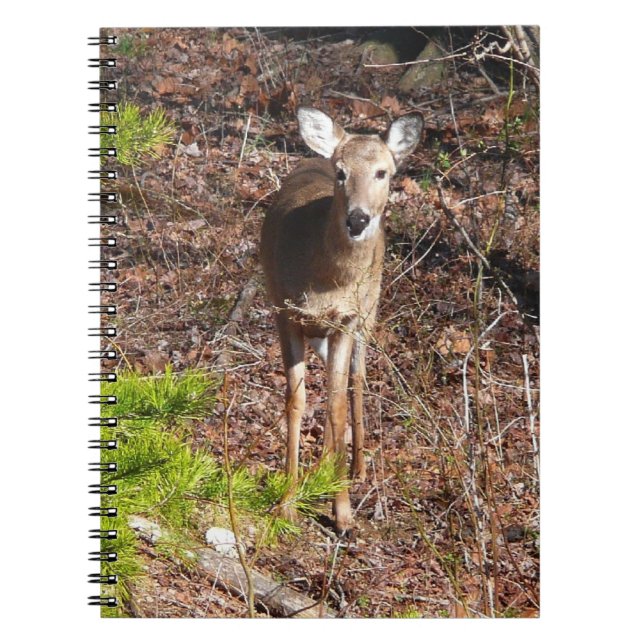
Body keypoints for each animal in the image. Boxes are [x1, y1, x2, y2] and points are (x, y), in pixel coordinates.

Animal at [260, 107, 423, 532]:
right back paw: (324, 468)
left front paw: (343, 511)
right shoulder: (285, 311)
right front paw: (286, 501)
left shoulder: (347, 319)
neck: (327, 281)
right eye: (341, 172)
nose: (358, 219)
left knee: (356, 379)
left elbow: (334, 405)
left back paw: (356, 468)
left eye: (383, 172)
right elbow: (296, 401)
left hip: (370, 310)